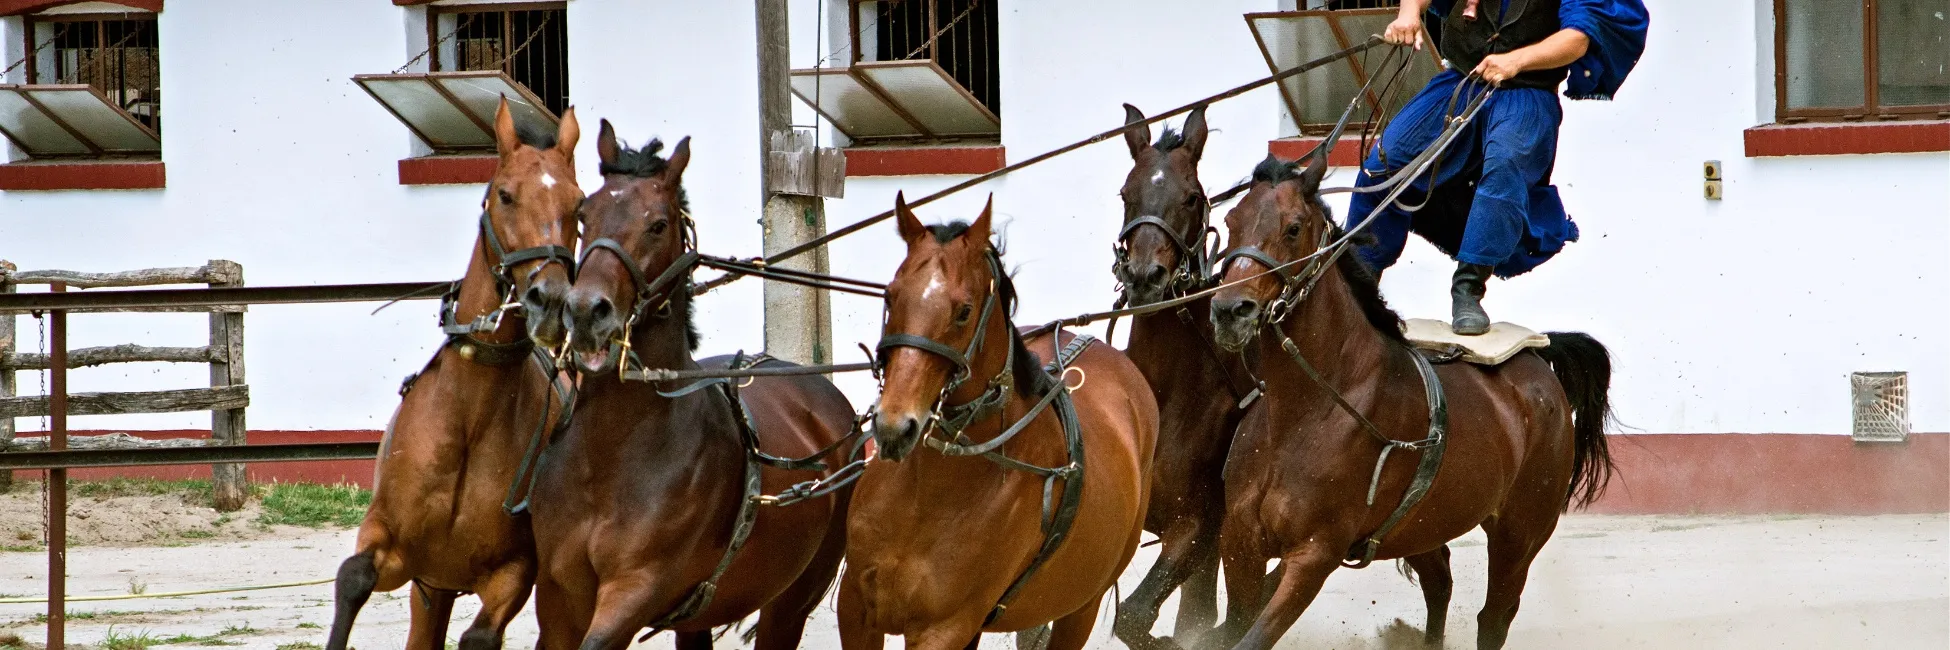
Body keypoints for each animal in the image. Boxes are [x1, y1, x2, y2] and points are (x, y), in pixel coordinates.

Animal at [327, 96, 581, 648]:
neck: (468, 422)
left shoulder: (514, 571)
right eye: (504, 195)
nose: (551, 302)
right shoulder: (397, 551)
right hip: (433, 590)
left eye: (578, 205)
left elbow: (480, 636)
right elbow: (353, 577)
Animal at [546, 126, 858, 648]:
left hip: (793, 599)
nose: (587, 311)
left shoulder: (635, 589)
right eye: (584, 215)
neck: (612, 453)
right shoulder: (559, 599)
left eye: (658, 225)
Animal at [838, 195, 1154, 648]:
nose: (894, 427)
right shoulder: (856, 609)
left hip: (1081, 608)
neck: (930, 492)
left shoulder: (945, 628)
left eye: (964, 312)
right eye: (891, 297)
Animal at [1115, 103, 1263, 644]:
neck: (1164, 392)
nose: (1144, 277)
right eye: (1126, 194)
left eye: (1192, 197)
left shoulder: (1196, 526)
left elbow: (1134, 615)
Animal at [1193, 153, 1622, 648]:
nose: (1229, 311)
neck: (1307, 412)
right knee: (1440, 582)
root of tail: (1539, 360)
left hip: (1520, 532)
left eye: (1294, 227)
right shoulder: (1240, 543)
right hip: (1419, 525)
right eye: (1232, 221)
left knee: (1494, 616)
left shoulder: (1314, 555)